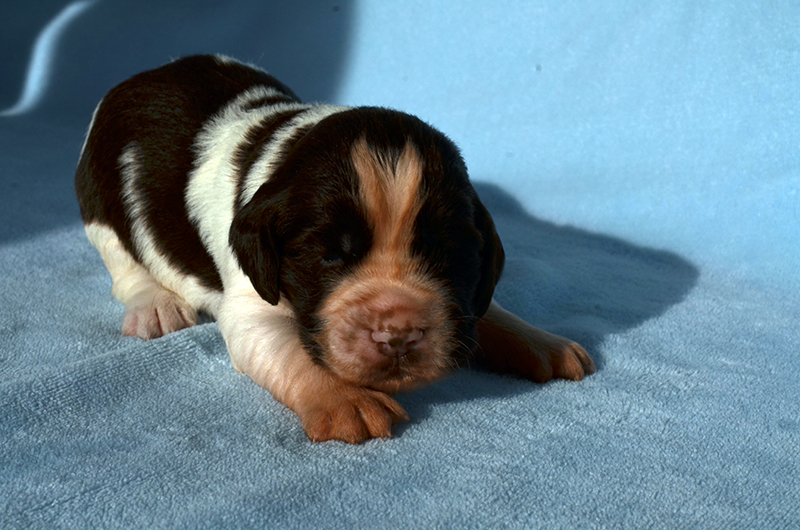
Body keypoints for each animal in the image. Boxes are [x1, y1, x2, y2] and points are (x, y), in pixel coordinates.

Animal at [75, 54, 592, 442]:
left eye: (446, 254)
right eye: (329, 255)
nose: (398, 335)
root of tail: (142, 76)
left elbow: (485, 309)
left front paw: (541, 341)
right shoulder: (251, 304)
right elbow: (289, 349)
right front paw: (346, 400)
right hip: (99, 199)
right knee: (123, 263)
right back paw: (156, 307)